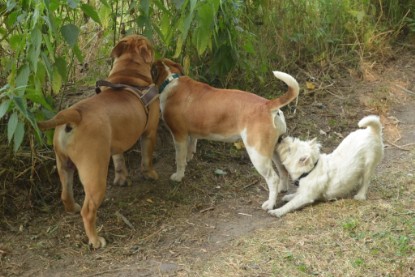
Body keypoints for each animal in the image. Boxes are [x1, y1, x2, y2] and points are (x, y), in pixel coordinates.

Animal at [37, 35, 161, 248]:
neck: (128, 75)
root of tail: (74, 115)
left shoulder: (117, 143)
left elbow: (119, 161)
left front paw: (122, 179)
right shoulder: (149, 133)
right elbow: (147, 158)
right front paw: (151, 174)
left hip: (63, 164)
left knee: (65, 195)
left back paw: (72, 207)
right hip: (95, 175)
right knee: (88, 211)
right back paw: (95, 240)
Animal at [151, 57, 300, 209]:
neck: (170, 78)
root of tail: (267, 105)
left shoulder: (178, 135)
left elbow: (179, 158)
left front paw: (178, 175)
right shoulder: (190, 134)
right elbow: (191, 145)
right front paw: (189, 157)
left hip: (258, 154)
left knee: (273, 178)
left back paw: (270, 204)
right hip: (274, 148)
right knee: (282, 169)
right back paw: (282, 189)